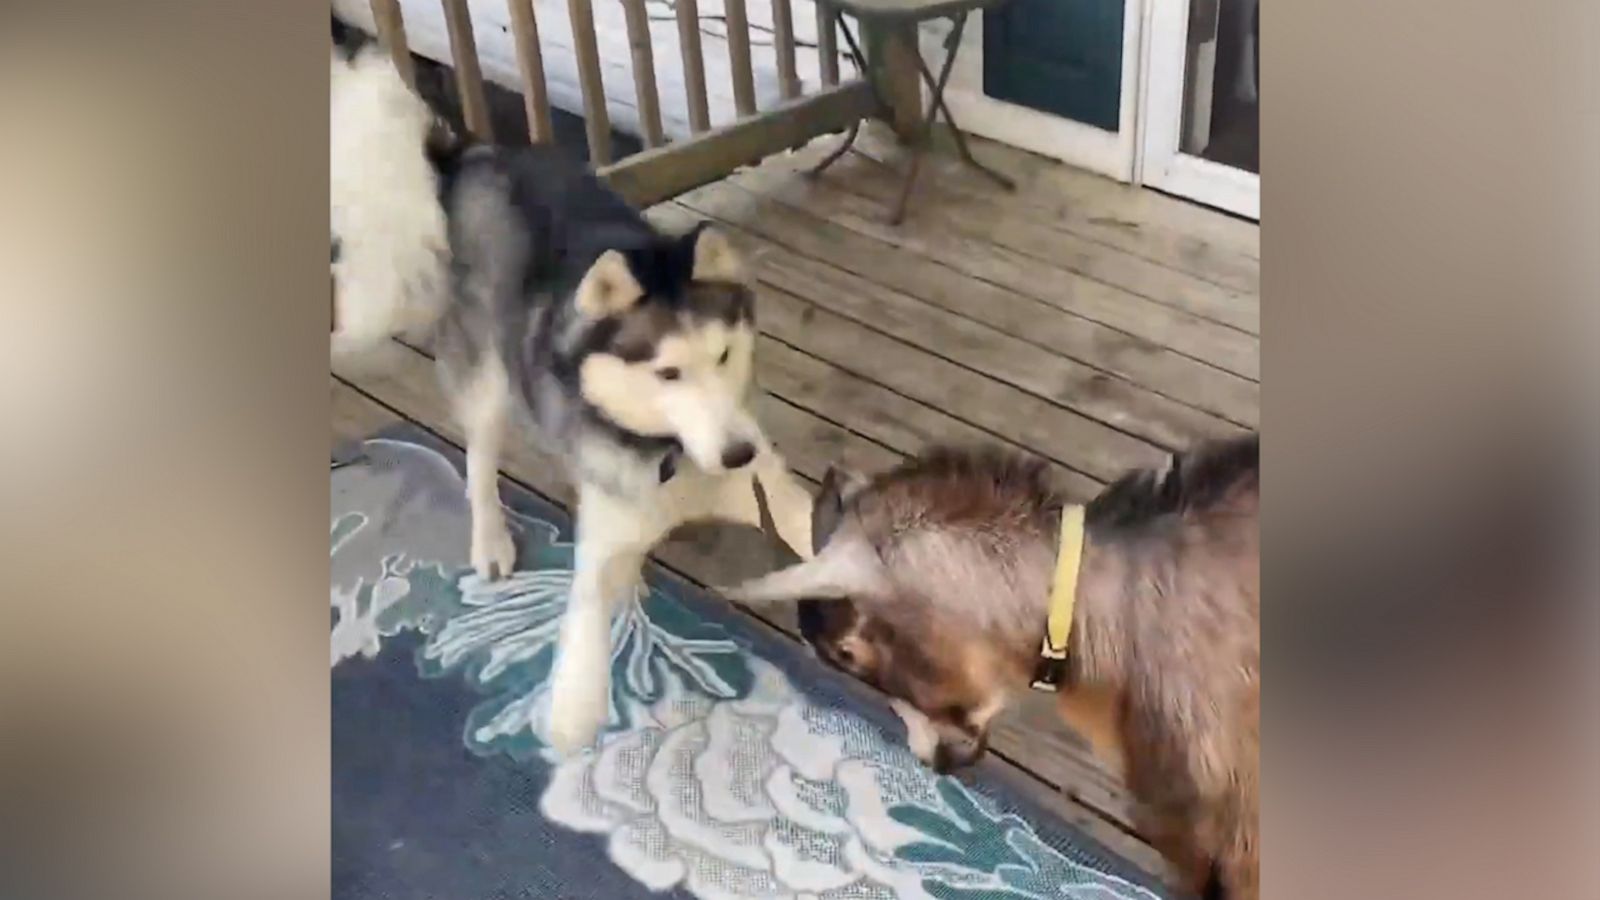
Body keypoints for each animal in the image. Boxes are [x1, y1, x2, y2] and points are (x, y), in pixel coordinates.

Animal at [332, 45, 819, 752]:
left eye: (725, 356)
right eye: (668, 374)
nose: (736, 454)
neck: (666, 454)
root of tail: (476, 155)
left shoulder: (766, 484)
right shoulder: (608, 521)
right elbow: (585, 611)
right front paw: (573, 706)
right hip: (488, 380)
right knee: (480, 461)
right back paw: (492, 539)